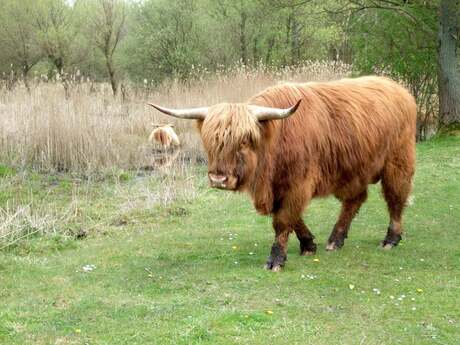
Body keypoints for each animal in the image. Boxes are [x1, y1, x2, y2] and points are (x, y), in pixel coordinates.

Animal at [148, 76, 416, 272]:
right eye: (211, 141)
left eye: (243, 141)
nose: (218, 179)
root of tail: (398, 89)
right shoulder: (279, 188)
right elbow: (292, 217)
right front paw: (309, 244)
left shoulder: (297, 183)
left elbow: (283, 219)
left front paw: (276, 259)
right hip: (353, 171)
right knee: (355, 200)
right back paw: (335, 239)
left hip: (398, 162)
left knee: (395, 199)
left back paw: (391, 239)